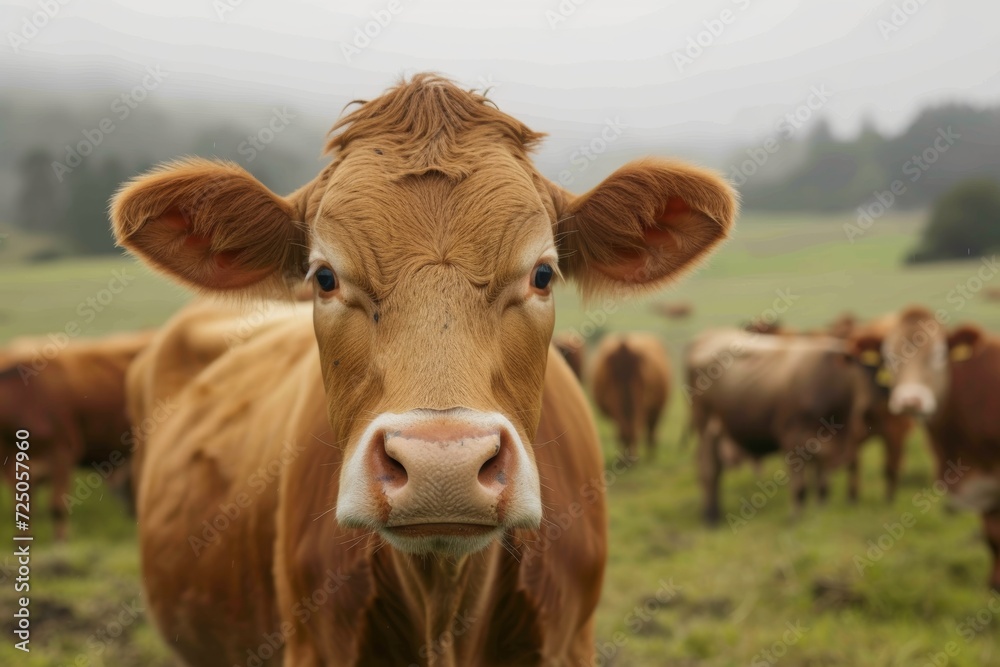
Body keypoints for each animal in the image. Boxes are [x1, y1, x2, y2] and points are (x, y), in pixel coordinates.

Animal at [684, 332, 872, 524]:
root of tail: (707, 336)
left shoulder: (823, 445)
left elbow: (823, 485)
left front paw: (820, 512)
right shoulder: (793, 438)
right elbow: (800, 487)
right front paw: (795, 517)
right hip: (706, 427)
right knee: (709, 469)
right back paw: (711, 515)